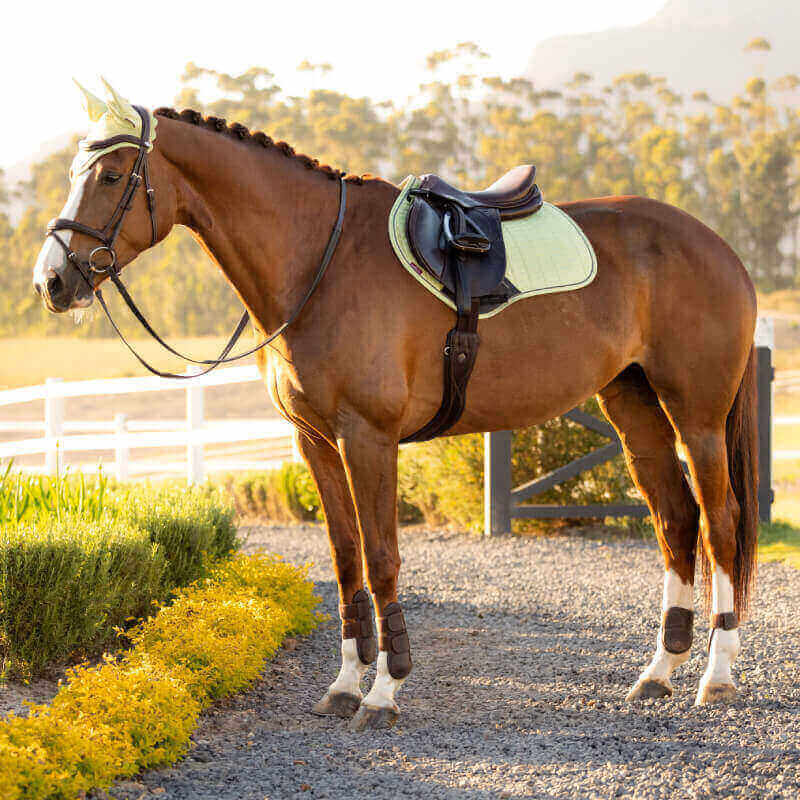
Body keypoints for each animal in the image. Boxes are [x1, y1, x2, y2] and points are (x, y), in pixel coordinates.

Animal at [33, 82, 758, 731]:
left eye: (113, 174)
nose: (52, 281)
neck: (317, 261)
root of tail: (718, 245)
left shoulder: (368, 437)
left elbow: (382, 557)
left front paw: (384, 692)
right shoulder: (315, 442)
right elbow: (346, 557)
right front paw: (343, 687)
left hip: (697, 415)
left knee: (719, 522)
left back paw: (716, 678)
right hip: (631, 403)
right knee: (676, 519)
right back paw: (659, 673)